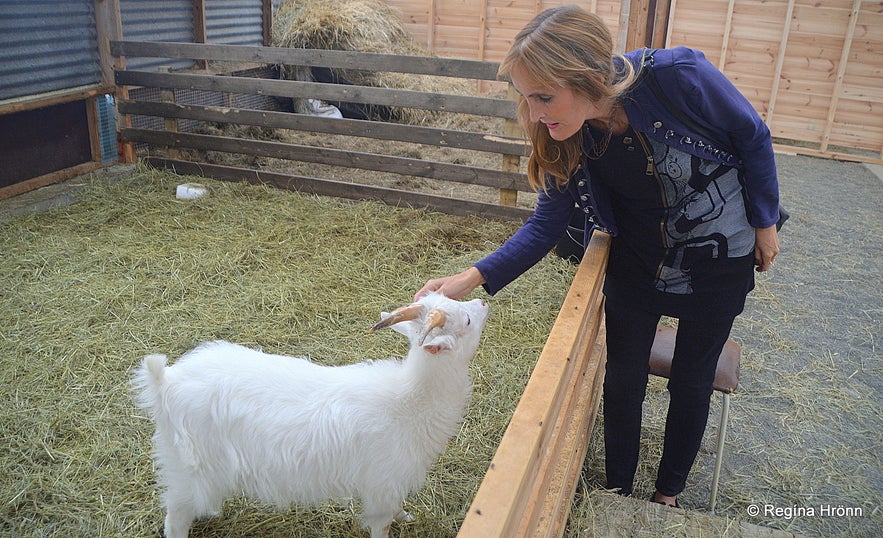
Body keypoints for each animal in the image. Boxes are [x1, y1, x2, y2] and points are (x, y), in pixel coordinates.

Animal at [131, 292, 490, 536]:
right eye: (467, 321)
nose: (483, 302)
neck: (413, 399)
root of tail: (165, 382)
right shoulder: (383, 483)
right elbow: (382, 524)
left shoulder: (391, 484)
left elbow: (396, 510)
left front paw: (407, 517)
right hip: (189, 465)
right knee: (175, 513)